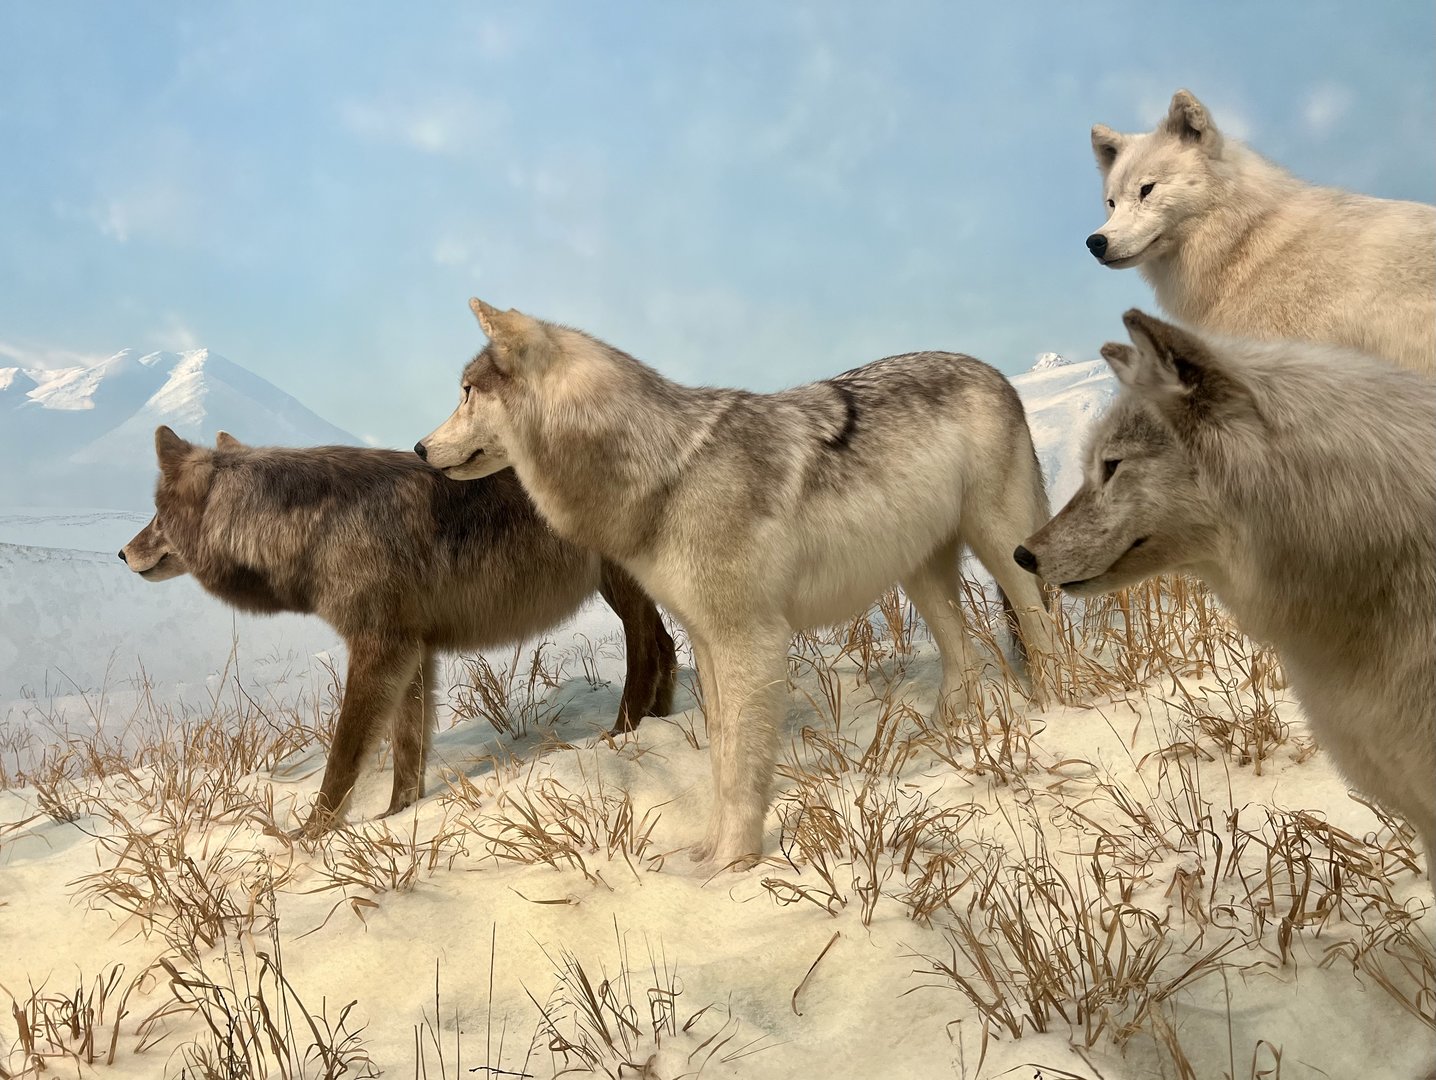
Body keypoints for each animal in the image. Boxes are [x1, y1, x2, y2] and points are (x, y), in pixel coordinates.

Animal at [120, 428, 677, 835]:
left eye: (155, 516)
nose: (122, 553)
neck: (313, 531)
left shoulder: (379, 648)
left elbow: (343, 757)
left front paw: (310, 836)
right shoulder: (413, 651)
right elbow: (408, 751)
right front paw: (397, 815)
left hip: (621, 588)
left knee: (646, 649)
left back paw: (622, 733)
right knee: (667, 643)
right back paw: (663, 720)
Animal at [415, 298, 1060, 868]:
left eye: (466, 391)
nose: (420, 449)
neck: (667, 474)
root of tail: (995, 372)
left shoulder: (750, 640)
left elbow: (745, 767)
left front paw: (733, 865)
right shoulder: (707, 641)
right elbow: (723, 759)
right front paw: (709, 856)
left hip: (1003, 553)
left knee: (1041, 631)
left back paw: (1056, 709)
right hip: (921, 576)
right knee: (965, 653)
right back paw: (959, 737)